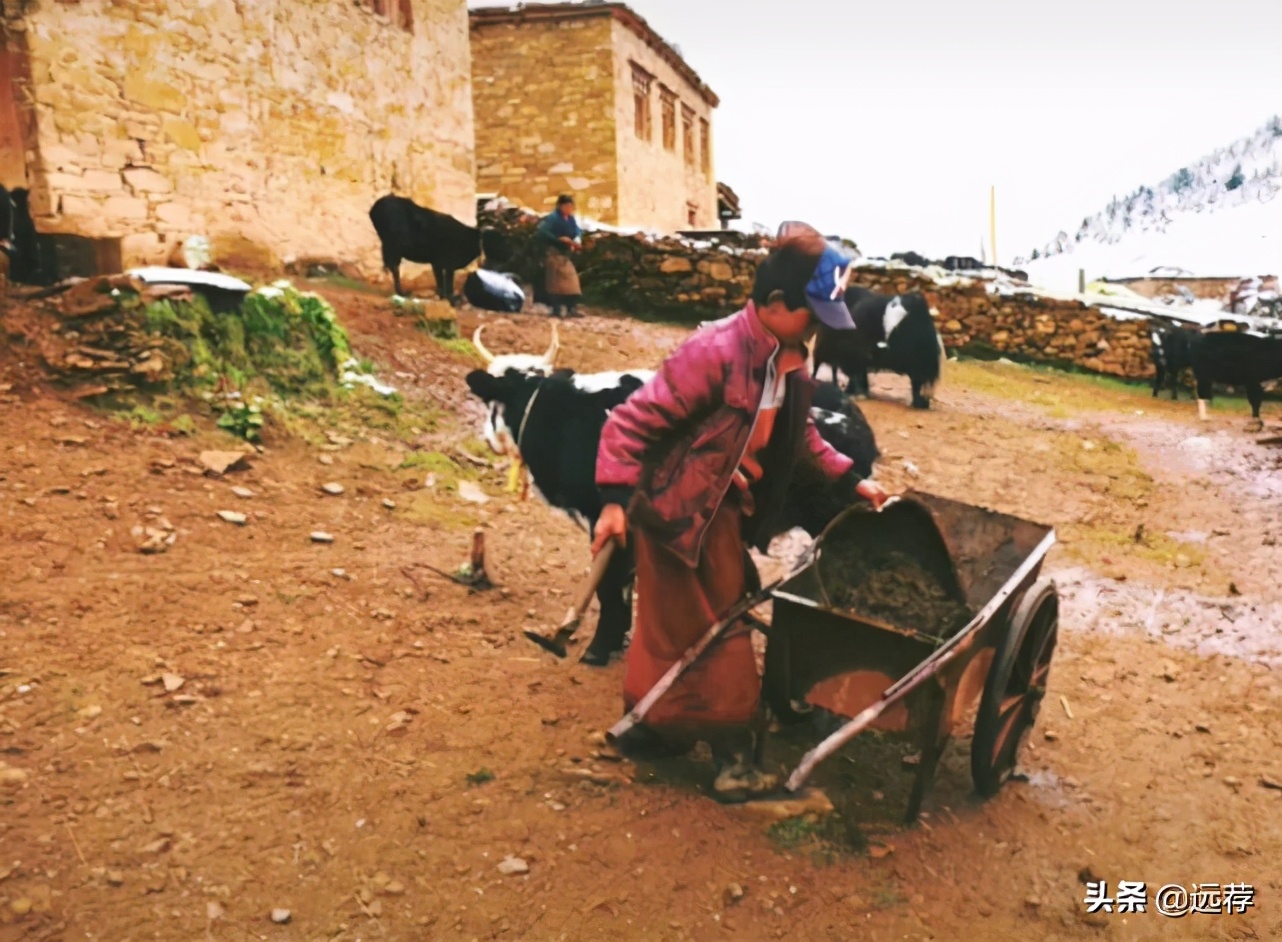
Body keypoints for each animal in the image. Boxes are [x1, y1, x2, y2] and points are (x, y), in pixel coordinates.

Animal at [369, 194, 512, 302]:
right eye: (501, 239)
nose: (510, 255)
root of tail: (376, 206)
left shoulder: (440, 264)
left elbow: (441, 281)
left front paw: (445, 297)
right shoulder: (446, 264)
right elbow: (446, 283)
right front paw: (451, 299)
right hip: (392, 246)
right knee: (394, 268)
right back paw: (402, 293)